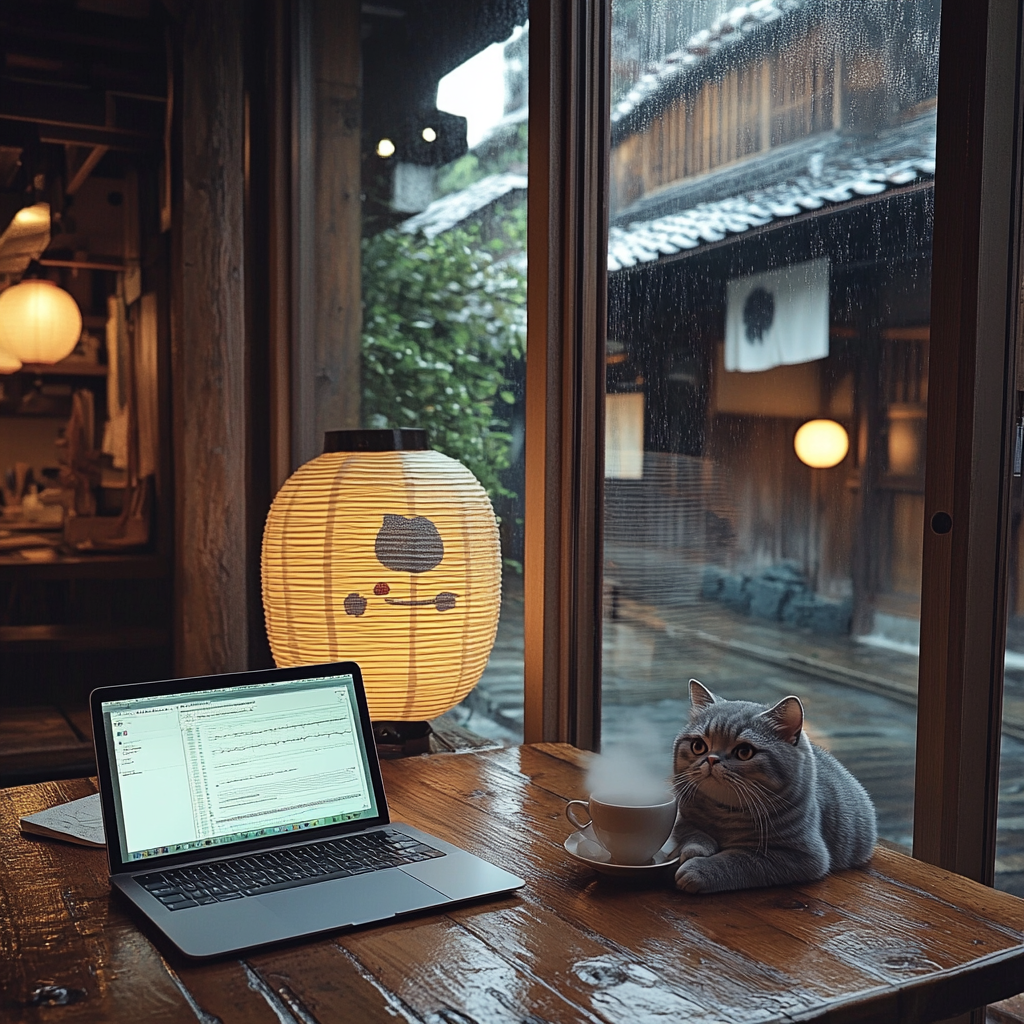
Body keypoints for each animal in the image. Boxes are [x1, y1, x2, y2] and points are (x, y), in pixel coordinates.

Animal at [667, 684, 876, 892]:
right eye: (698, 746)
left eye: (744, 751)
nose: (711, 759)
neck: (724, 813)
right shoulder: (683, 820)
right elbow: (693, 833)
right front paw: (695, 850)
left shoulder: (802, 856)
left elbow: (739, 860)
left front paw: (698, 870)